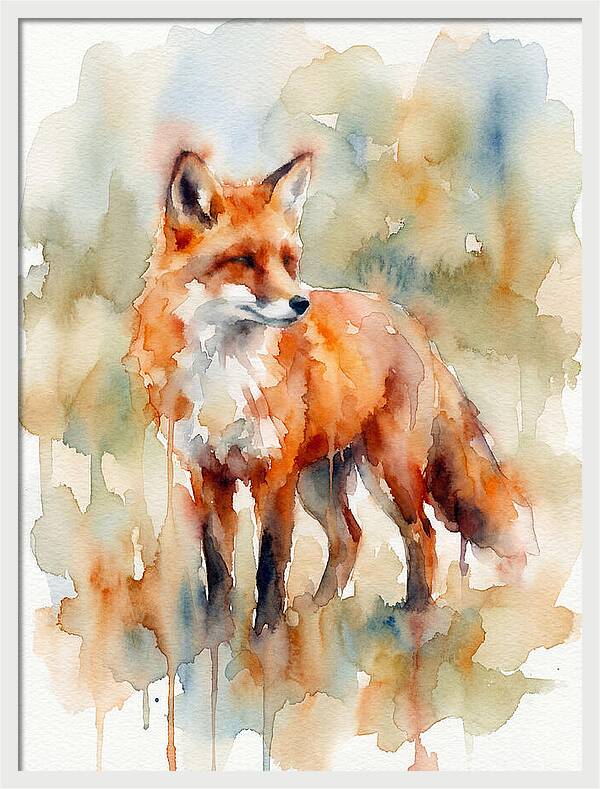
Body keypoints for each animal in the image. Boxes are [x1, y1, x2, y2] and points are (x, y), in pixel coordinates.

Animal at [128, 150, 538, 635]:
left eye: (289, 261)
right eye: (244, 259)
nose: (300, 304)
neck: (225, 372)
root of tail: (409, 322)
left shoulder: (275, 474)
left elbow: (270, 564)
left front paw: (266, 639)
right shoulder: (207, 473)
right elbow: (219, 569)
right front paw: (216, 638)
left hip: (389, 469)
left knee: (422, 533)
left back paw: (415, 618)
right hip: (320, 483)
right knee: (350, 537)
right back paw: (317, 610)